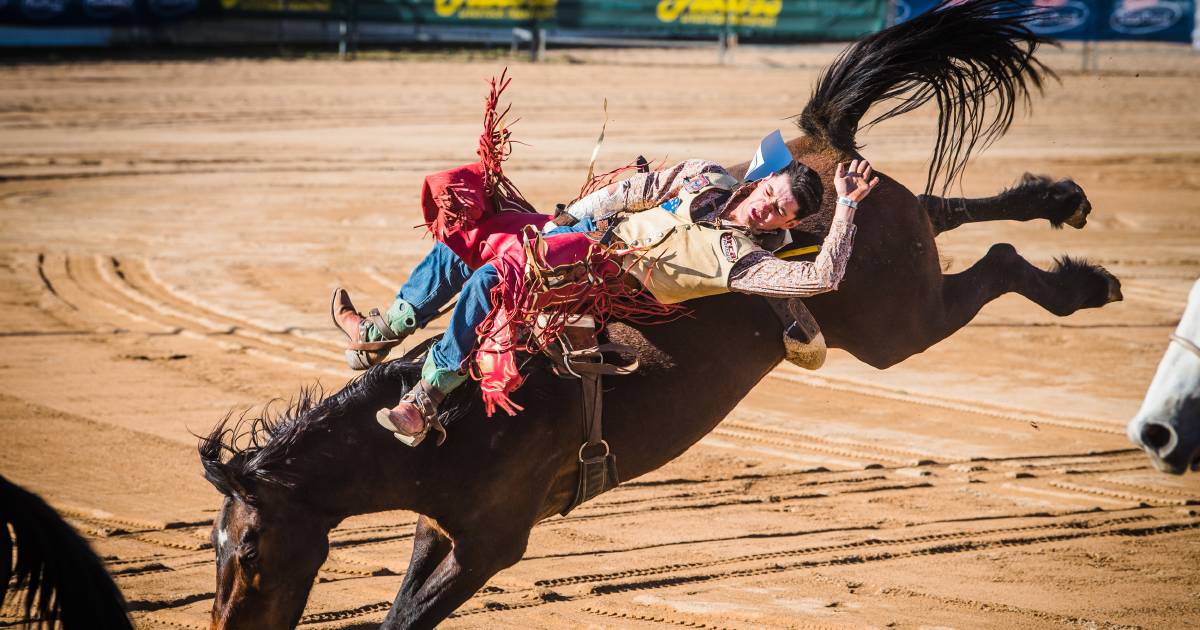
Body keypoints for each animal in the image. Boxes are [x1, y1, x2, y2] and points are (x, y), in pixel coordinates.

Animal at [196, 2, 1123, 624]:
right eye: (212, 546)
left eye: (249, 548)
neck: (459, 418)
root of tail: (825, 153)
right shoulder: (439, 533)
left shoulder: (491, 544)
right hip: (900, 267)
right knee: (944, 210)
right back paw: (1062, 204)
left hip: (900, 326)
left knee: (992, 261)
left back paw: (1083, 283)